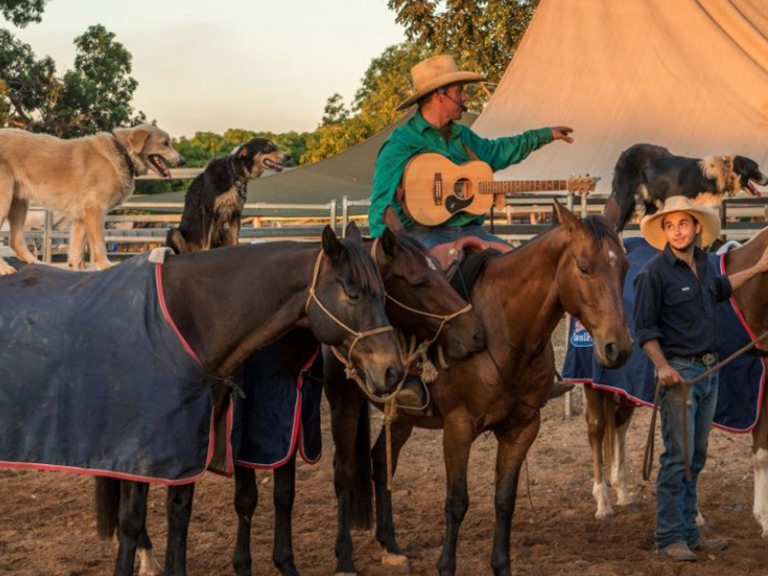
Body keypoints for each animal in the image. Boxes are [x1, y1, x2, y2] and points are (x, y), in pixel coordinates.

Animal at [0, 125, 184, 274]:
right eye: (165, 143)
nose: (183, 160)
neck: (123, 153)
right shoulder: (95, 211)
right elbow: (99, 245)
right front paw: (105, 266)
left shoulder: (81, 219)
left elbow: (75, 254)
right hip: (5, 200)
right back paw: (4, 268)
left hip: (19, 202)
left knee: (15, 240)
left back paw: (34, 262)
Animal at [324, 204, 632, 576]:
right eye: (584, 267)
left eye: (625, 267)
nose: (618, 347)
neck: (504, 329)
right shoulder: (458, 427)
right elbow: (457, 501)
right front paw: (446, 566)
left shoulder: (523, 427)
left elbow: (505, 499)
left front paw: (501, 565)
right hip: (345, 401)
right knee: (345, 470)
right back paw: (344, 557)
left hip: (402, 416)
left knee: (382, 461)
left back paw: (391, 545)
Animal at [608, 143, 768, 231]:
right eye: (755, 168)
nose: (767, 180)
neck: (722, 171)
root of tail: (625, 152)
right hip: (626, 199)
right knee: (618, 226)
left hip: (650, 203)